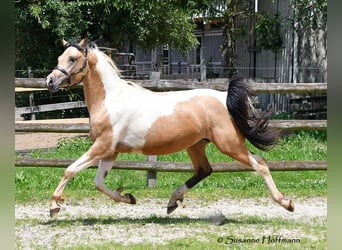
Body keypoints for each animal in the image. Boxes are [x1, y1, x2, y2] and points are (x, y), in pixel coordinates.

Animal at [44, 38, 294, 217]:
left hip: (230, 144)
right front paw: (129, 198)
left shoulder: (103, 146)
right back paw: (172, 202)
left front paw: (55, 206)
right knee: (204, 170)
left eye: (73, 58)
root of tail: (223, 98)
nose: (50, 81)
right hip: (196, 145)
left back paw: (286, 202)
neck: (111, 100)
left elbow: (70, 169)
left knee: (260, 164)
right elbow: (98, 183)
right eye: (60, 56)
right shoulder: (110, 152)